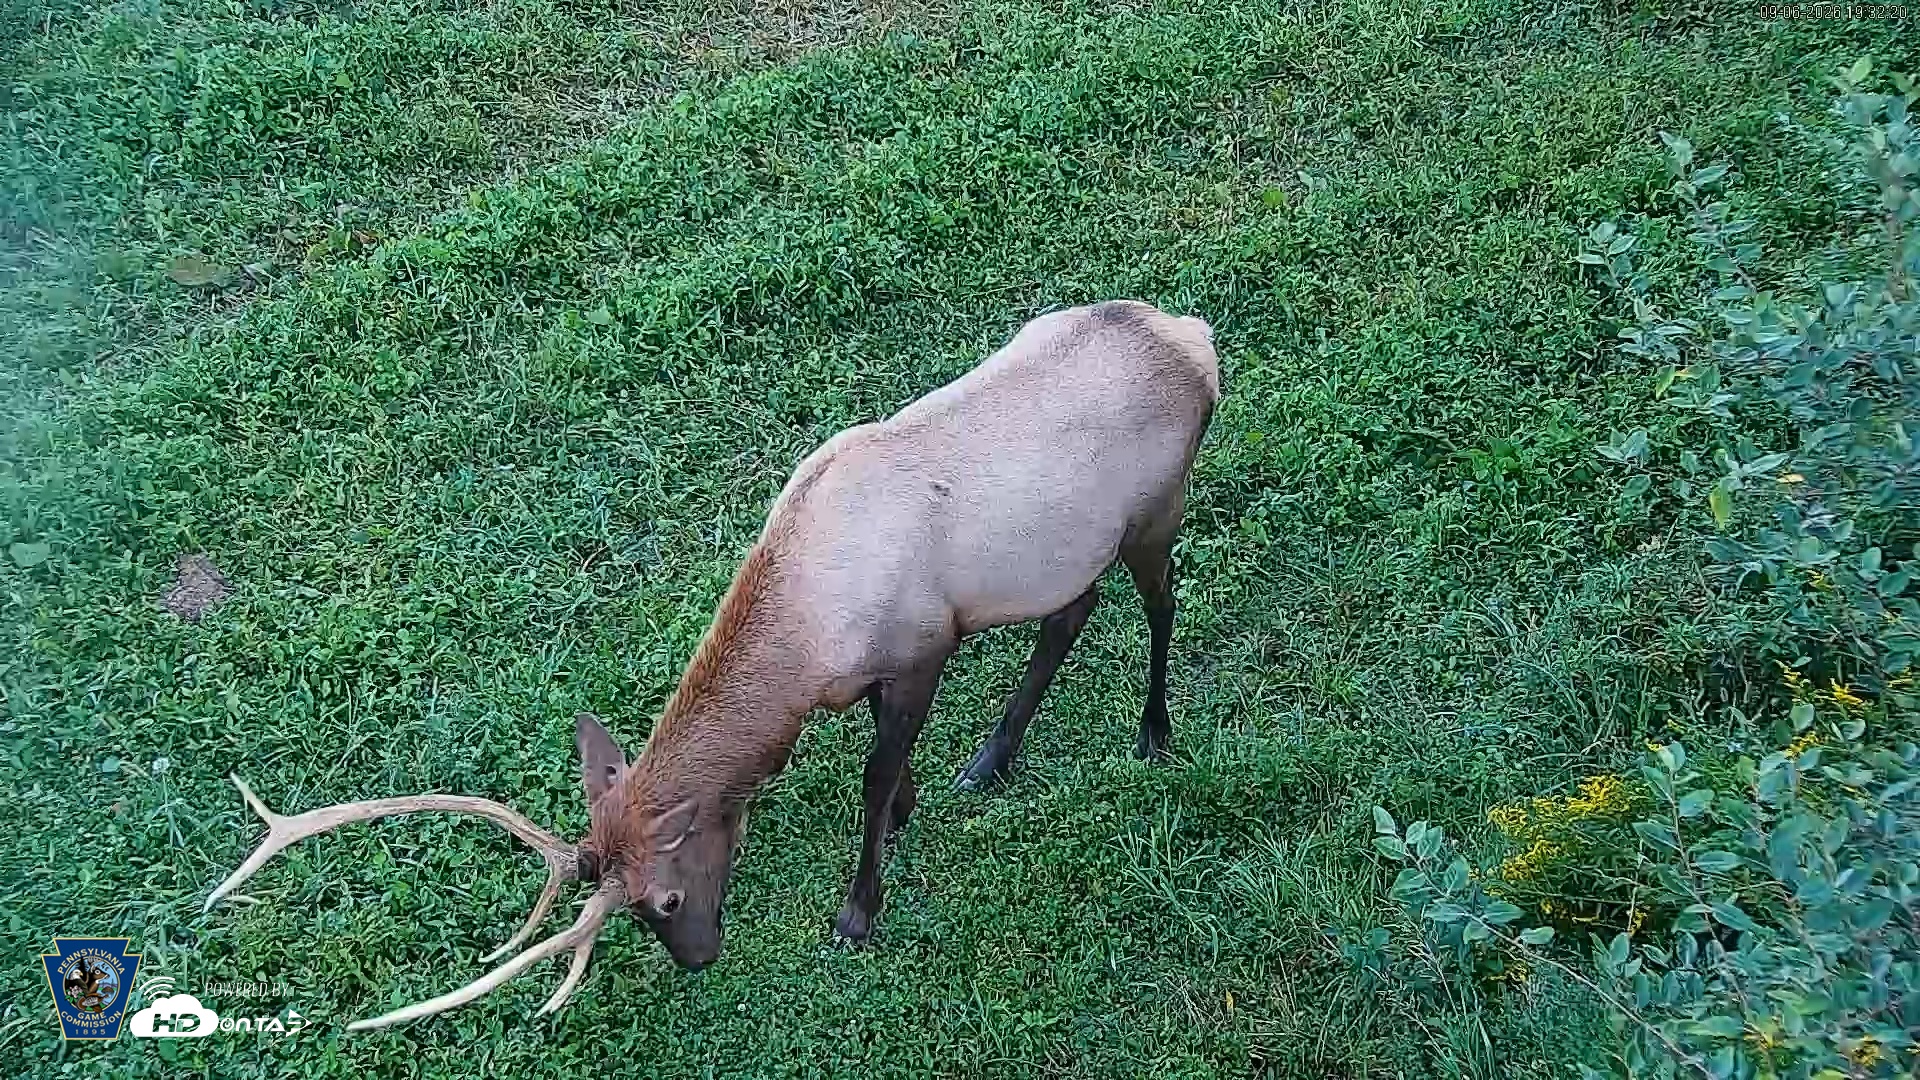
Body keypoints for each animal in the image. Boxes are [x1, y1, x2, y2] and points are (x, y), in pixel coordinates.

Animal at [202, 299, 1219, 1029]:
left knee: (1163, 603)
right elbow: (891, 769)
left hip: (1157, 506)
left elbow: (870, 774)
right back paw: (992, 760)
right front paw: (916, 807)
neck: (808, 640)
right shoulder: (884, 670)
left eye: (660, 896)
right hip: (1065, 553)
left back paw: (1153, 733)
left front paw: (858, 911)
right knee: (1072, 614)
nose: (698, 958)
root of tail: (1198, 341)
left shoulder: (924, 646)